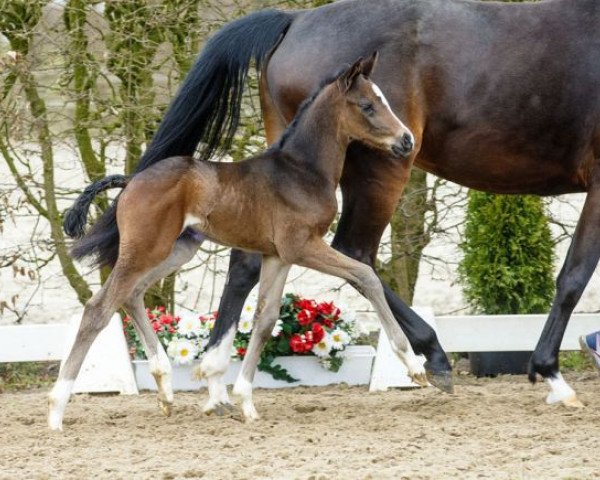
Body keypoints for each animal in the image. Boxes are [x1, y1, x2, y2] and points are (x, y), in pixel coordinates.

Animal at [49, 54, 420, 430]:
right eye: (368, 106)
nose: (406, 141)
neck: (302, 171)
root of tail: (130, 181)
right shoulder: (302, 246)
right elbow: (365, 275)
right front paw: (413, 364)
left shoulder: (277, 256)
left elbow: (266, 319)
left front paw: (245, 402)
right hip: (145, 250)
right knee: (99, 308)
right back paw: (56, 410)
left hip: (176, 250)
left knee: (132, 295)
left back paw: (165, 389)